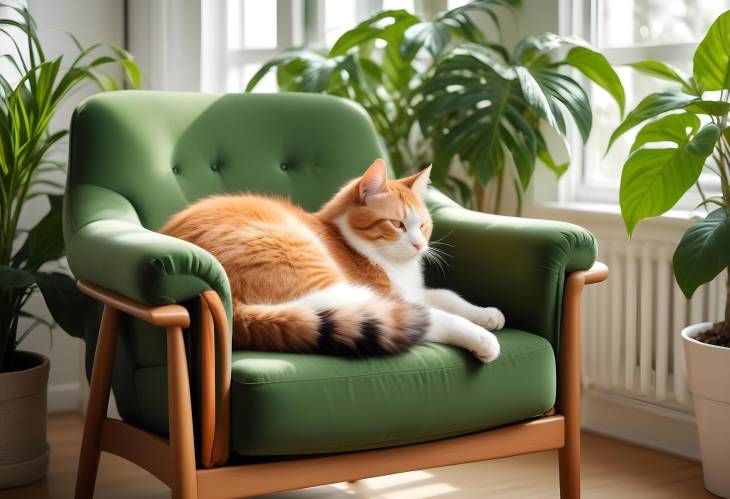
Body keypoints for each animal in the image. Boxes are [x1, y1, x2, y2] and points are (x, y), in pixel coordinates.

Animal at [159, 160, 500, 364]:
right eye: (398, 224)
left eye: (424, 225)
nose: (419, 244)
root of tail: (233, 306)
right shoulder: (392, 293)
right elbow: (442, 309)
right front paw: (482, 333)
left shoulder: (415, 291)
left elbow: (448, 296)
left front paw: (486, 314)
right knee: (421, 319)